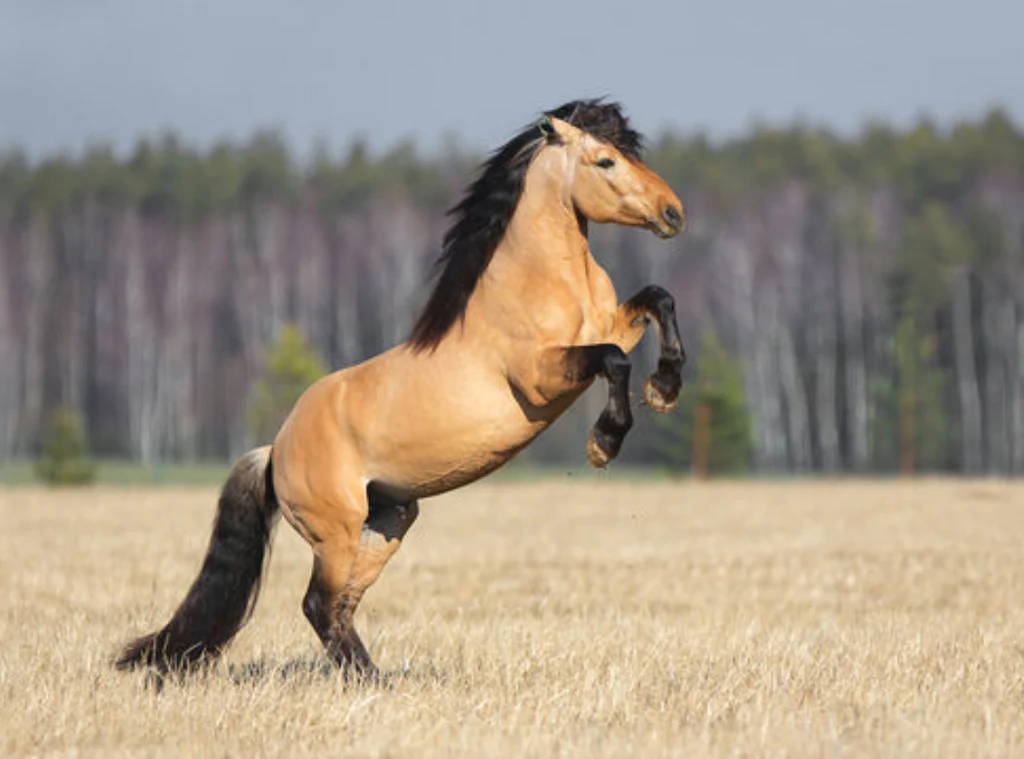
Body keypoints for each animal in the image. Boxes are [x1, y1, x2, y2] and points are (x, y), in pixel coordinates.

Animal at [117, 99, 688, 676]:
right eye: (605, 160)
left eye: (631, 152)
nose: (673, 213)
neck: (542, 284)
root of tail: (275, 450)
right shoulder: (542, 378)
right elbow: (614, 359)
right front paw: (605, 441)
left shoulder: (611, 325)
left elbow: (658, 298)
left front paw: (665, 387)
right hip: (335, 532)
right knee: (319, 603)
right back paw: (367, 681)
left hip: (388, 522)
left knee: (341, 607)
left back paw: (376, 679)